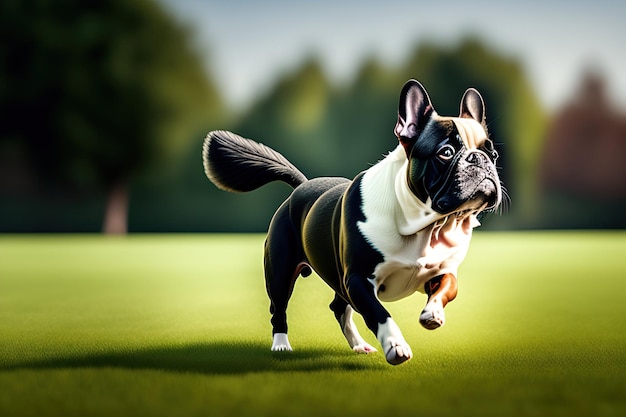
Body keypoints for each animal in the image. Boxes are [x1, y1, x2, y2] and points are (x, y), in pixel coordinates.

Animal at [202, 80, 500, 364]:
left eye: (493, 154)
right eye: (446, 152)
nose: (480, 159)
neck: (423, 226)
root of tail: (301, 186)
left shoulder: (444, 270)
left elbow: (447, 288)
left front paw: (432, 313)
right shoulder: (358, 279)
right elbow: (379, 313)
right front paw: (396, 345)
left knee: (339, 308)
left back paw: (359, 345)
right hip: (281, 271)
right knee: (279, 308)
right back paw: (281, 345)